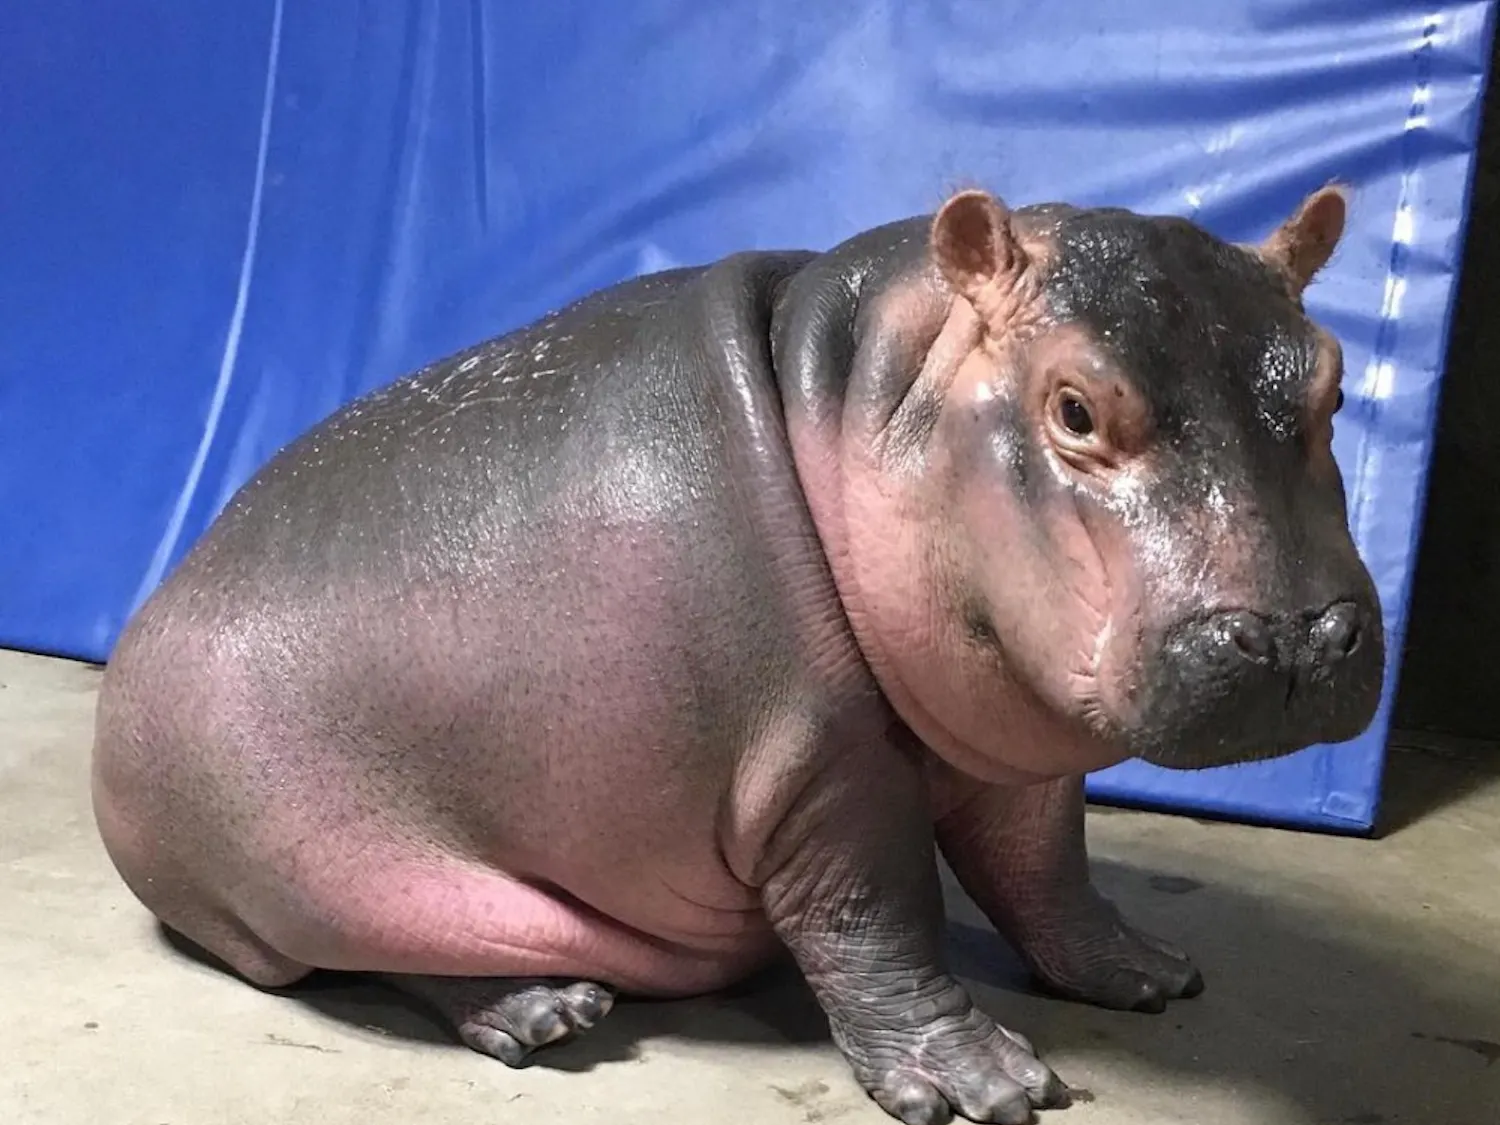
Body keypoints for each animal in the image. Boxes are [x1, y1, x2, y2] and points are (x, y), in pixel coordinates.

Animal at [92, 182, 1383, 1125]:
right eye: (1073, 406)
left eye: (1331, 382)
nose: (1296, 639)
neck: (870, 390)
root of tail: (144, 626)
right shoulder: (822, 768)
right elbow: (877, 913)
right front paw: (983, 1087)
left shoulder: (1015, 747)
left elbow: (1045, 868)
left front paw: (1146, 972)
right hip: (309, 873)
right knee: (372, 951)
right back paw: (542, 1011)